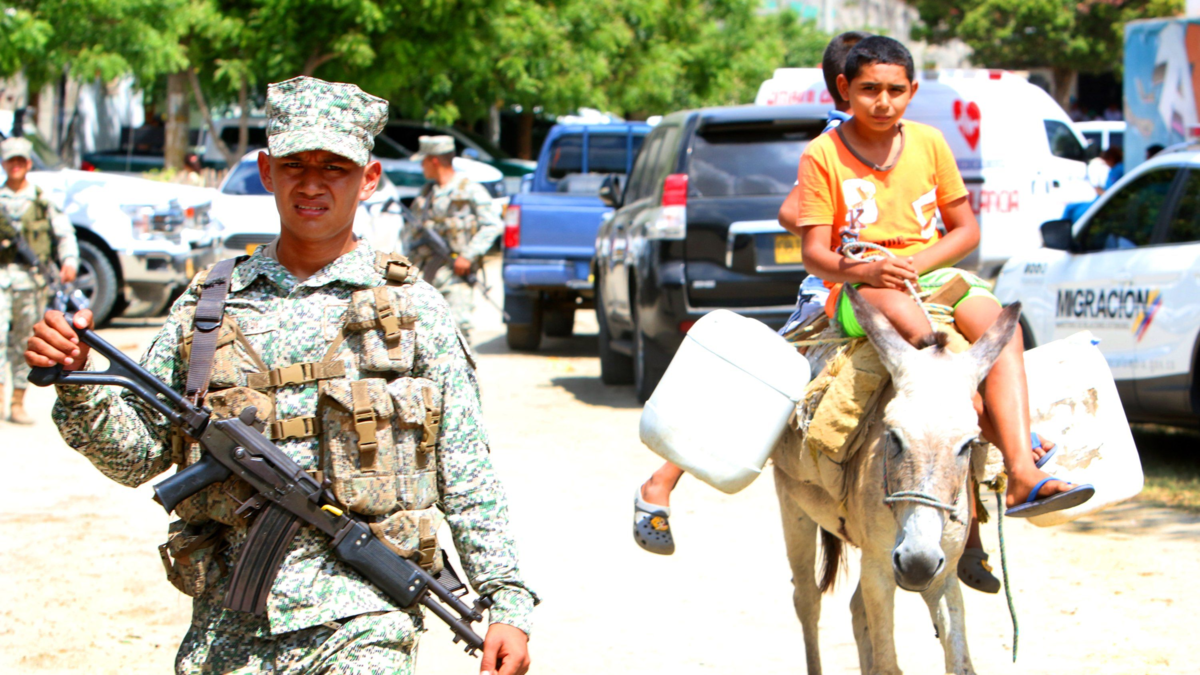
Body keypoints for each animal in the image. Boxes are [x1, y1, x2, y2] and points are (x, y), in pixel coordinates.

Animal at [771, 285, 1020, 675]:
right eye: (892, 436)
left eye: (969, 444)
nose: (917, 564)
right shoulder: (880, 567)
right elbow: (888, 664)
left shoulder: (942, 573)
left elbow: (960, 663)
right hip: (793, 505)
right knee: (808, 600)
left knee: (855, 608)